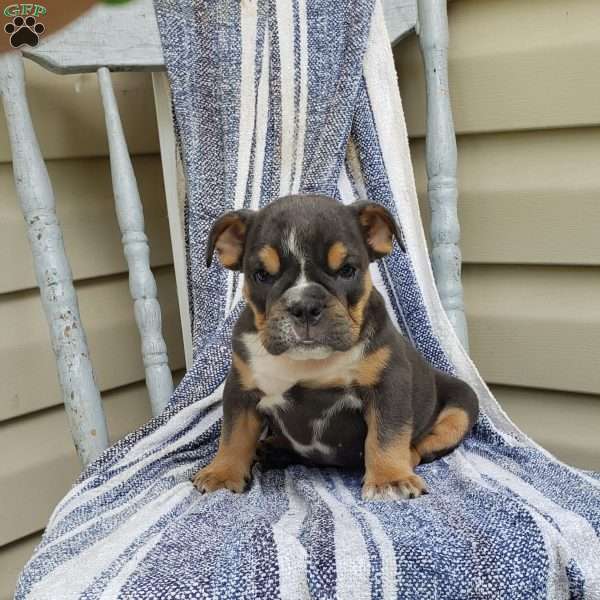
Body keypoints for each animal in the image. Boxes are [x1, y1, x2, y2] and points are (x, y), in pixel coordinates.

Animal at [192, 195, 478, 500]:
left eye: (347, 271)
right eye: (261, 275)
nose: (305, 305)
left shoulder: (388, 387)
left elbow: (386, 435)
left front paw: (390, 479)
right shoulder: (241, 390)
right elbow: (234, 434)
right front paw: (222, 473)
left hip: (462, 405)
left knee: (422, 445)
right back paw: (274, 449)